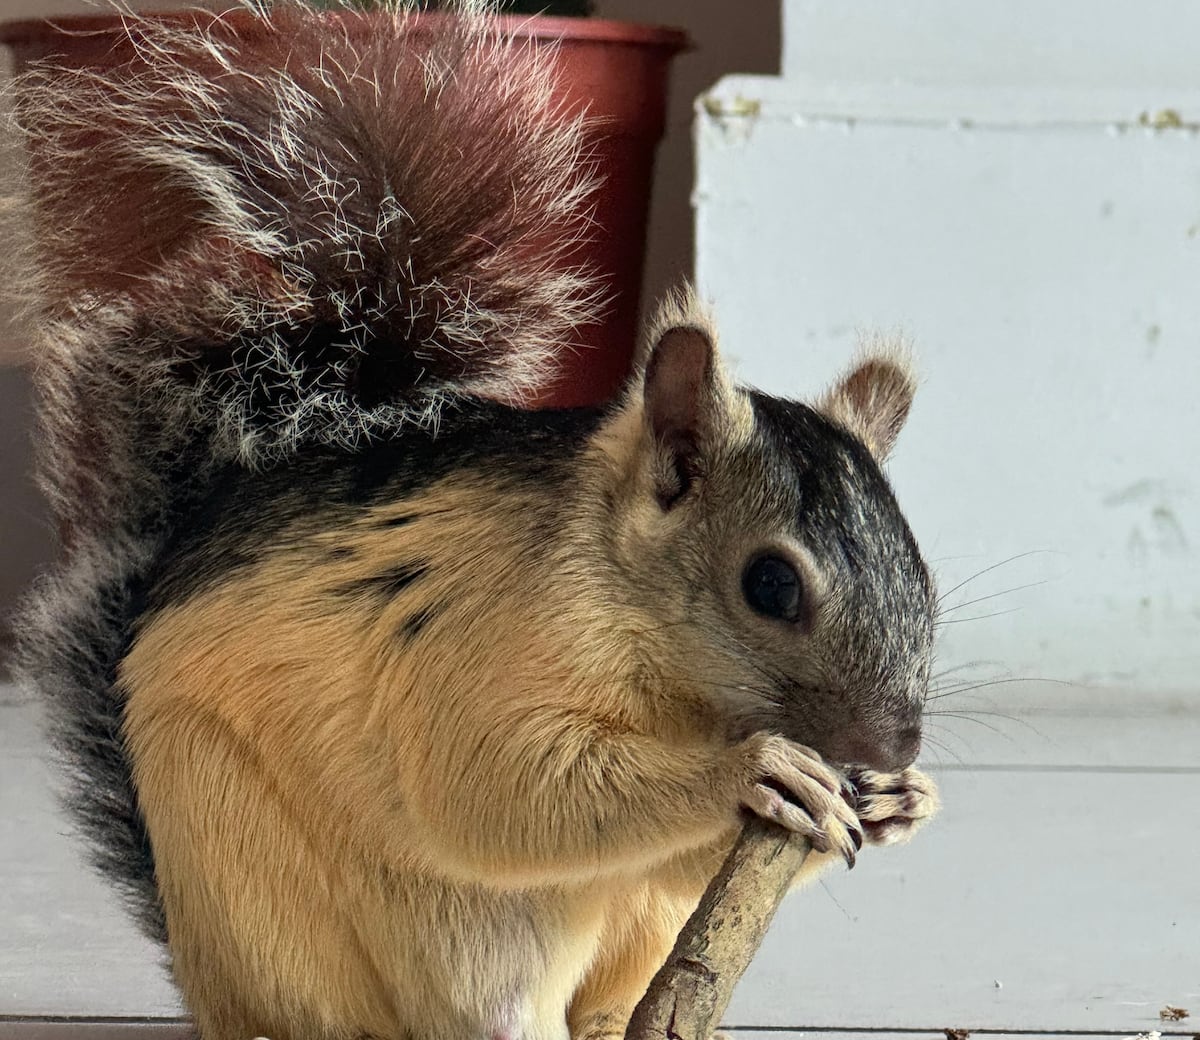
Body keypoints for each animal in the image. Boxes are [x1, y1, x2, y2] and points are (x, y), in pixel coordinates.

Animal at [9, 3, 939, 1039]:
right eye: (769, 585)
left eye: (924, 574)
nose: (895, 745)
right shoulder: (477, 638)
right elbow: (498, 786)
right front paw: (752, 770)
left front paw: (901, 800)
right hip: (320, 901)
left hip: (630, 930)